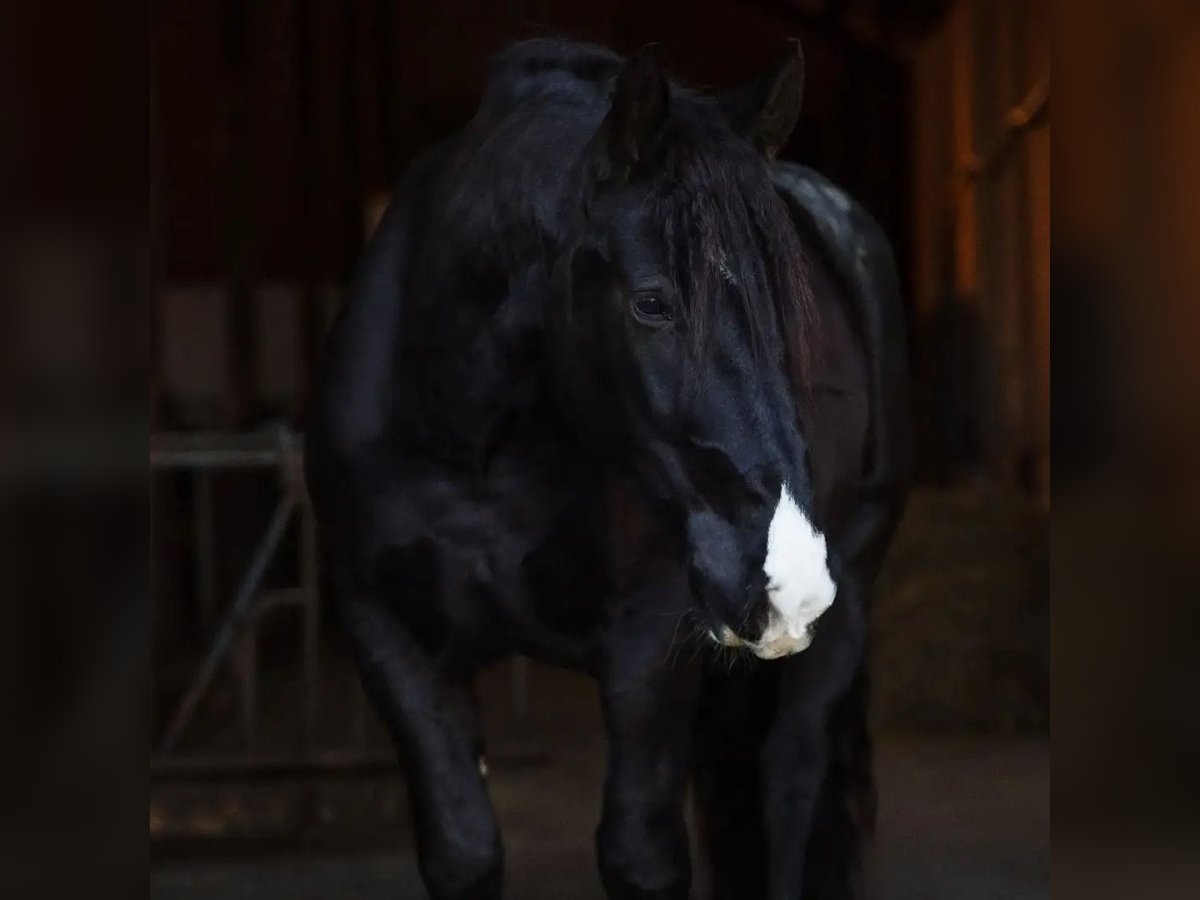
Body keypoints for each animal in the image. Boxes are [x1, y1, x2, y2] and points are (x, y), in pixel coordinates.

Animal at [305, 38, 911, 900]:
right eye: (652, 303)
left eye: (791, 309)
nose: (786, 579)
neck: (475, 451)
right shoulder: (389, 638)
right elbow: (464, 851)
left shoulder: (647, 641)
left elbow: (641, 856)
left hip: (849, 595)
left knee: (790, 786)